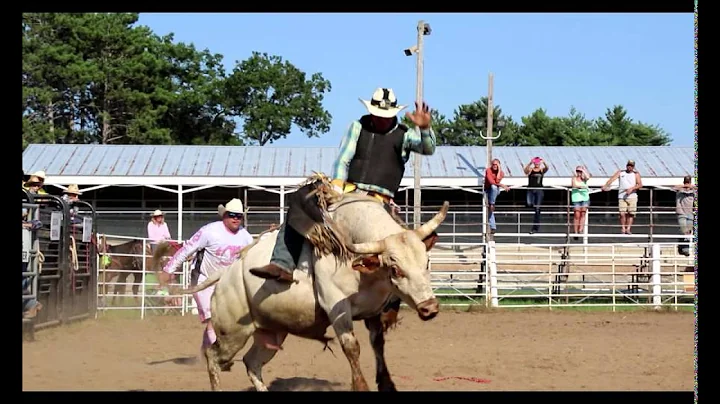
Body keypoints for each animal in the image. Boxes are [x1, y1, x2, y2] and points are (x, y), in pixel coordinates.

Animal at [152, 192, 448, 392]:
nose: (430, 308)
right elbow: (352, 348)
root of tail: (226, 275)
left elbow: (378, 345)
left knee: (252, 362)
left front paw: (387, 384)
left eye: (427, 262)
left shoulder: (374, 311)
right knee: (214, 357)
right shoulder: (337, 309)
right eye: (395, 269)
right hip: (232, 333)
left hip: (271, 332)